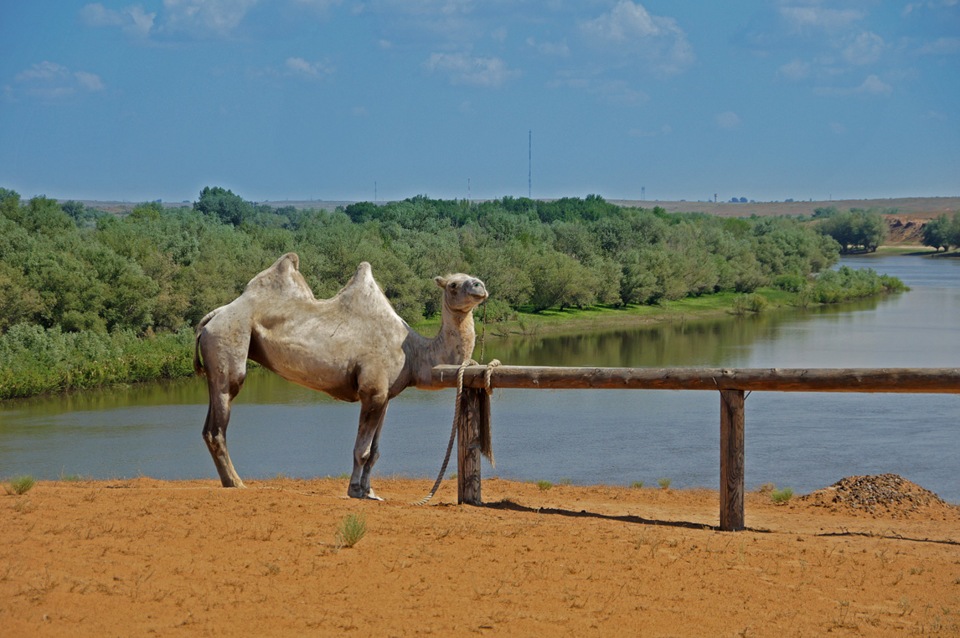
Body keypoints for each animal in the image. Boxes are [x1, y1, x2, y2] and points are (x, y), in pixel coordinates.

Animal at [192, 254, 492, 500]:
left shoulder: (385, 397)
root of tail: (212, 316)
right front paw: (355, 490)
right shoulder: (372, 391)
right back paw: (236, 483)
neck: (414, 353)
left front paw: (371, 492)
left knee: (208, 426)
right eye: (453, 285)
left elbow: (375, 451)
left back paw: (230, 480)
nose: (479, 286)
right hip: (229, 344)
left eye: (472, 278)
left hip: (217, 359)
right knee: (219, 421)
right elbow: (362, 450)